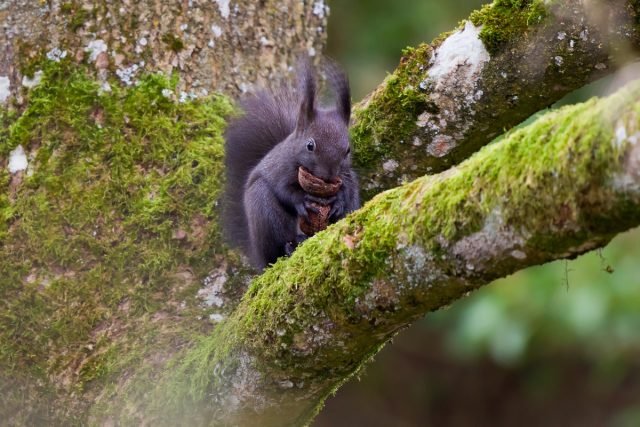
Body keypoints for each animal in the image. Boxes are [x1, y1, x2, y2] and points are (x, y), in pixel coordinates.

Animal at [222, 59, 360, 270]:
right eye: (310, 145)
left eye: (348, 150)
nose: (328, 175)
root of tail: (257, 254)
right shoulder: (280, 168)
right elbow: (284, 190)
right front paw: (302, 200)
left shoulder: (346, 176)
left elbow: (347, 188)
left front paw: (338, 201)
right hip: (264, 211)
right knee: (277, 246)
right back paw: (290, 246)